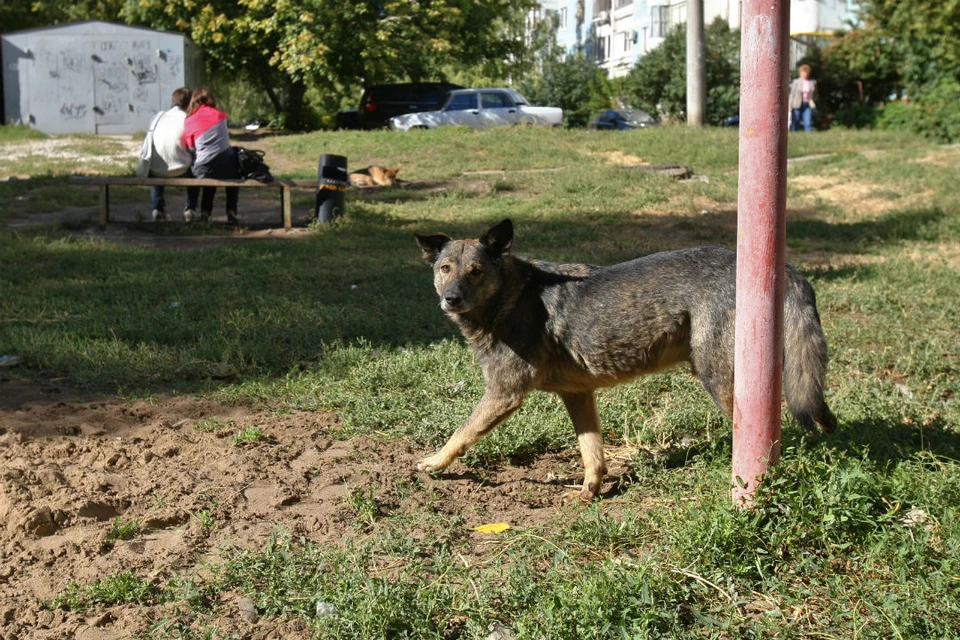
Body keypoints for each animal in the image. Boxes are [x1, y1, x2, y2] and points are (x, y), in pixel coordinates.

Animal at [416, 220, 836, 504]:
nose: (451, 299)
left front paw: (434, 464)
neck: (512, 299)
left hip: (717, 380)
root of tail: (784, 267)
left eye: (476, 272)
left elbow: (460, 434)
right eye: (445, 269)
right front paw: (589, 492)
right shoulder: (578, 395)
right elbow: (592, 454)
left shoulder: (504, 393)